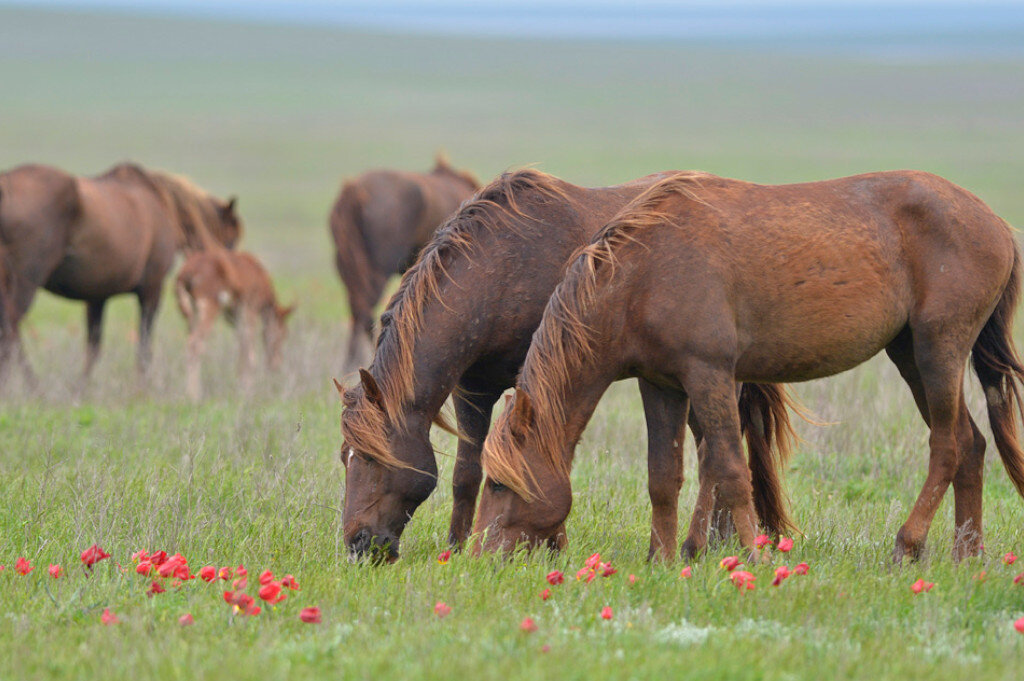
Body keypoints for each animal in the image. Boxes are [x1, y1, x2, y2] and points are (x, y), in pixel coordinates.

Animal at [0, 160, 241, 382]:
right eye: (231, 241)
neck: (162, 203)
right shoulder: (152, 289)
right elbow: (144, 348)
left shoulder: (97, 295)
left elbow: (94, 348)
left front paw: (81, 389)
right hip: (26, 280)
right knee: (11, 330)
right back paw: (32, 387)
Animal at [175, 248, 296, 399]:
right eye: (283, 334)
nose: (276, 365)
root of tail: (185, 274)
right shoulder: (250, 309)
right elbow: (249, 353)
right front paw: (249, 390)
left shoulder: (235, 316)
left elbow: (242, 346)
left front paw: (241, 386)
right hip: (209, 307)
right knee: (195, 344)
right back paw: (193, 394)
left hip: (191, 314)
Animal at [475, 169, 1024, 561]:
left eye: (499, 483)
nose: (479, 557)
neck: (643, 275)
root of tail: (996, 224)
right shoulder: (661, 385)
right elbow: (663, 476)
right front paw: (661, 560)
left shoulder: (710, 375)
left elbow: (730, 470)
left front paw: (750, 557)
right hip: (910, 355)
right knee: (972, 445)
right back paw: (967, 554)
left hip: (938, 351)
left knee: (949, 445)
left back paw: (909, 543)